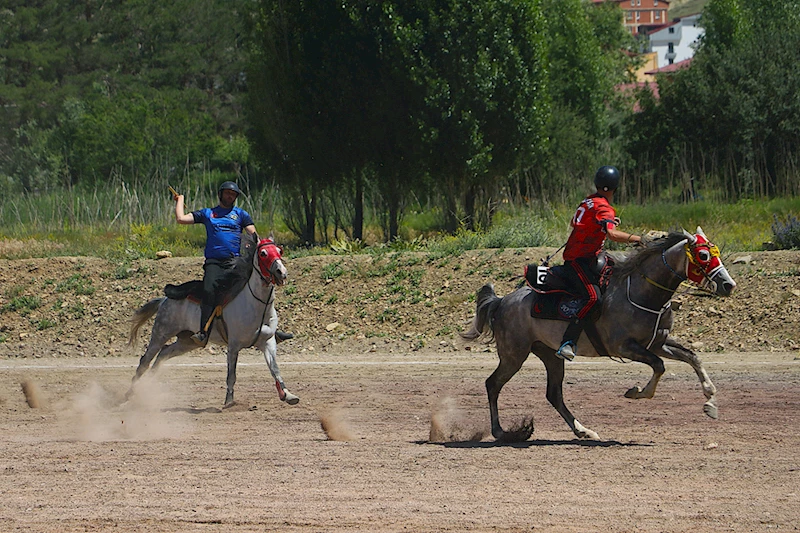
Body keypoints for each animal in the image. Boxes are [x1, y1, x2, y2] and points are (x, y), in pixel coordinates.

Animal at [128, 235, 300, 406]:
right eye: (263, 253)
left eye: (279, 251)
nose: (281, 272)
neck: (256, 306)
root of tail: (164, 299)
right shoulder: (233, 346)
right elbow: (231, 375)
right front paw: (229, 400)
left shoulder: (268, 342)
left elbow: (275, 369)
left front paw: (288, 395)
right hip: (161, 333)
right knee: (145, 361)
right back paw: (129, 393)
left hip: (187, 341)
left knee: (163, 354)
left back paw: (148, 384)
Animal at [462, 228, 736, 440]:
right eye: (703, 255)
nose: (728, 285)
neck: (641, 291)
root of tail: (502, 301)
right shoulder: (625, 347)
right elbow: (659, 366)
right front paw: (637, 392)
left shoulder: (657, 343)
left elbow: (692, 357)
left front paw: (710, 402)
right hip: (514, 355)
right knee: (493, 384)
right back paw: (500, 432)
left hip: (549, 354)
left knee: (553, 394)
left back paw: (583, 430)